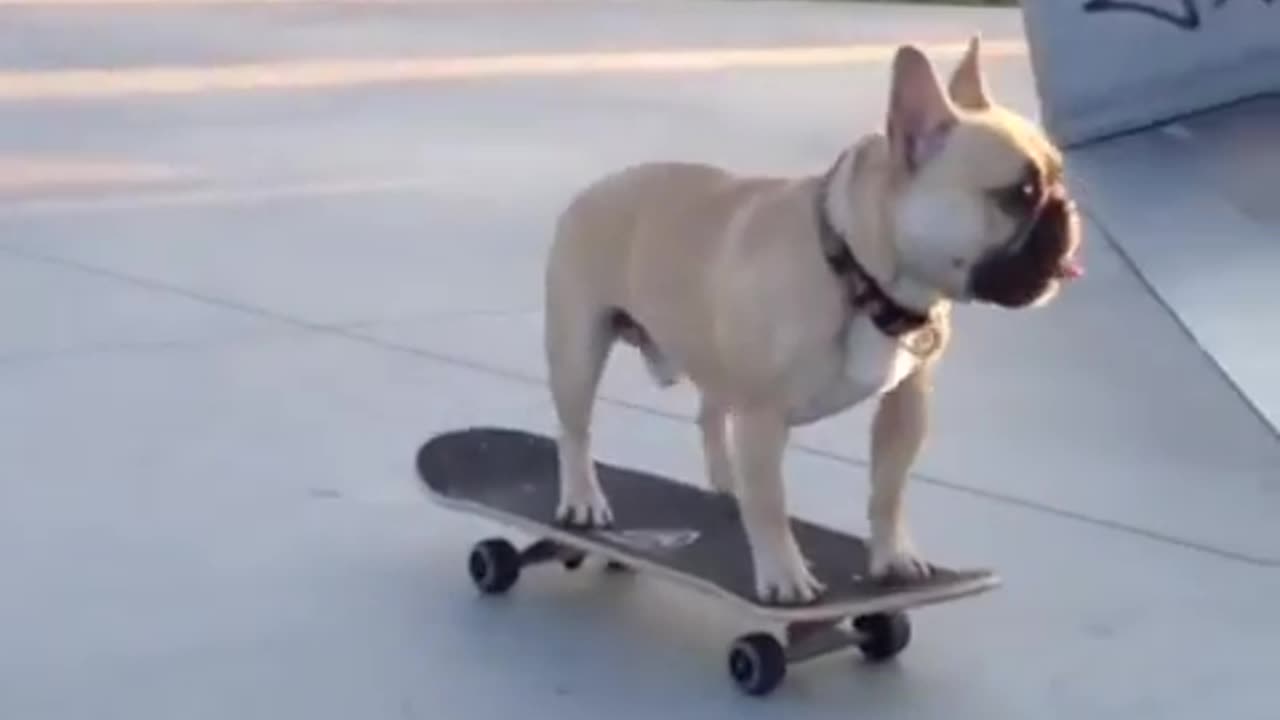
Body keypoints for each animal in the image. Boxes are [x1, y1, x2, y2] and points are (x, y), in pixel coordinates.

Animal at [540, 37, 1080, 599]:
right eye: (1019, 194)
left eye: (1058, 176)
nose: (1067, 208)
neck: (858, 276)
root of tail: (595, 188)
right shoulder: (762, 416)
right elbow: (771, 504)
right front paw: (784, 575)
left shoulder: (906, 402)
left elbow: (889, 489)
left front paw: (893, 557)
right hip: (578, 351)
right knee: (575, 430)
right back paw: (583, 499)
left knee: (710, 415)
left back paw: (727, 485)